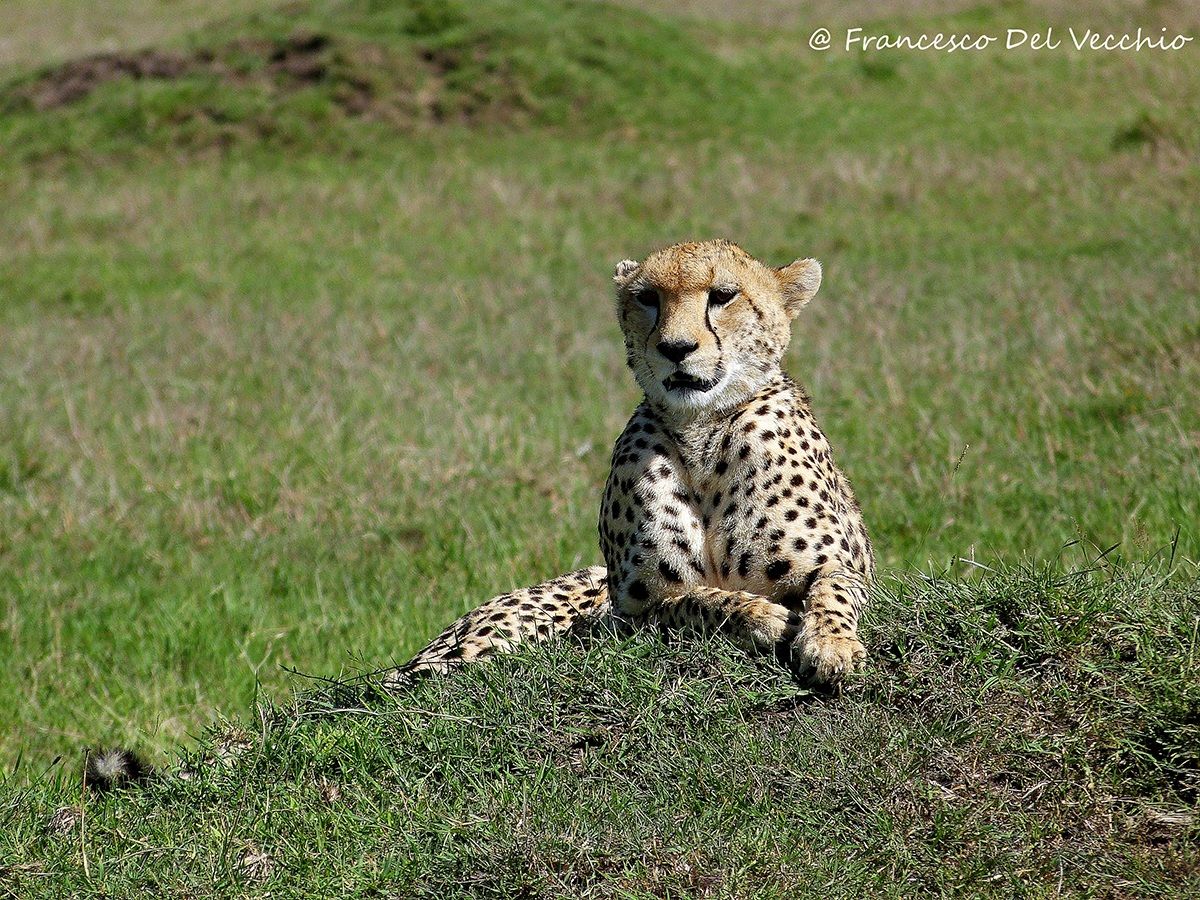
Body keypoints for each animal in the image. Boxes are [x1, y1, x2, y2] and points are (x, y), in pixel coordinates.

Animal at [385, 239, 873, 688]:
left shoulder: (843, 567)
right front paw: (758, 615)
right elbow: (693, 602)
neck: (699, 429)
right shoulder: (625, 617)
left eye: (723, 295)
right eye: (647, 298)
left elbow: (833, 589)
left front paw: (831, 645)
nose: (676, 347)